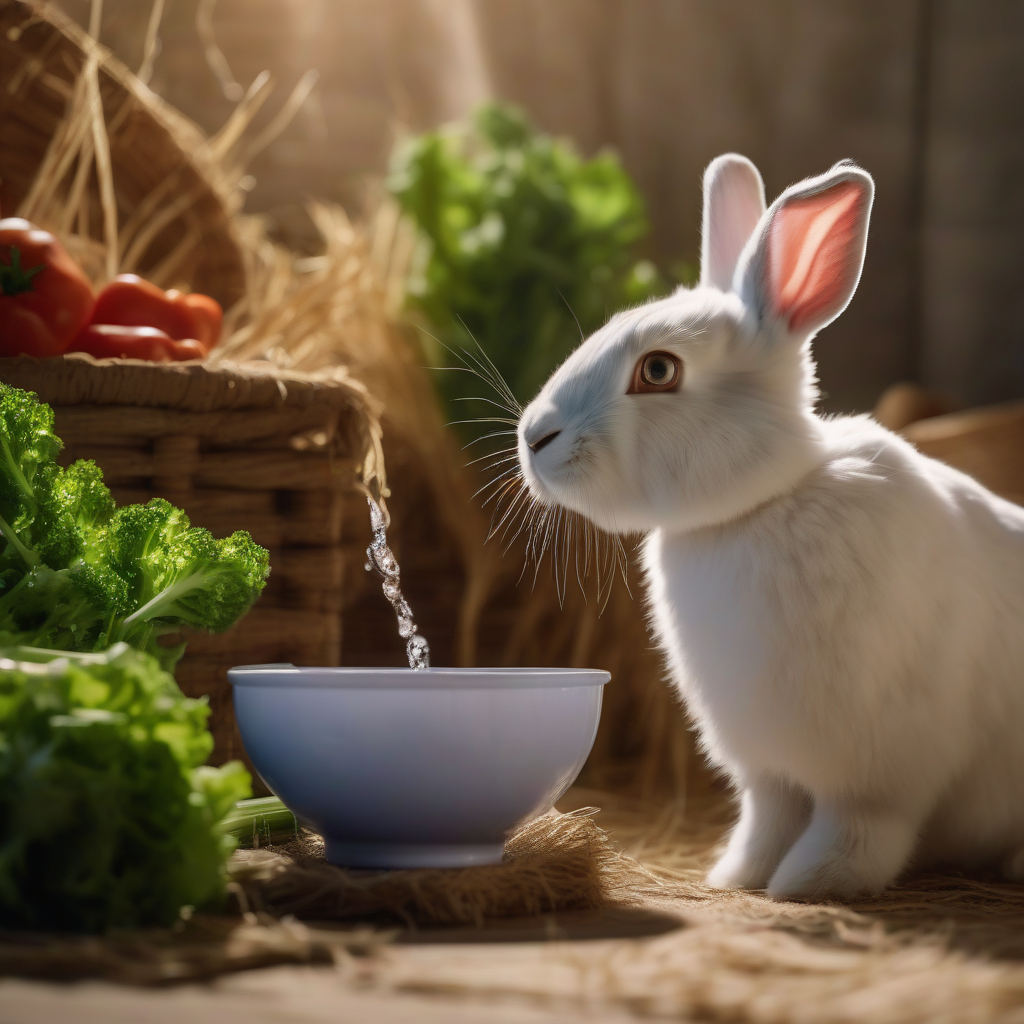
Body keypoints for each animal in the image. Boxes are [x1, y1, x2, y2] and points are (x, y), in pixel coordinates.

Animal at [515, 153, 1024, 901]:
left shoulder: (875, 771)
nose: (533, 437)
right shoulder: (766, 766)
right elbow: (768, 818)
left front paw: (811, 882)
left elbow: (857, 829)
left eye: (658, 369)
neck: (760, 504)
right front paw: (738, 876)